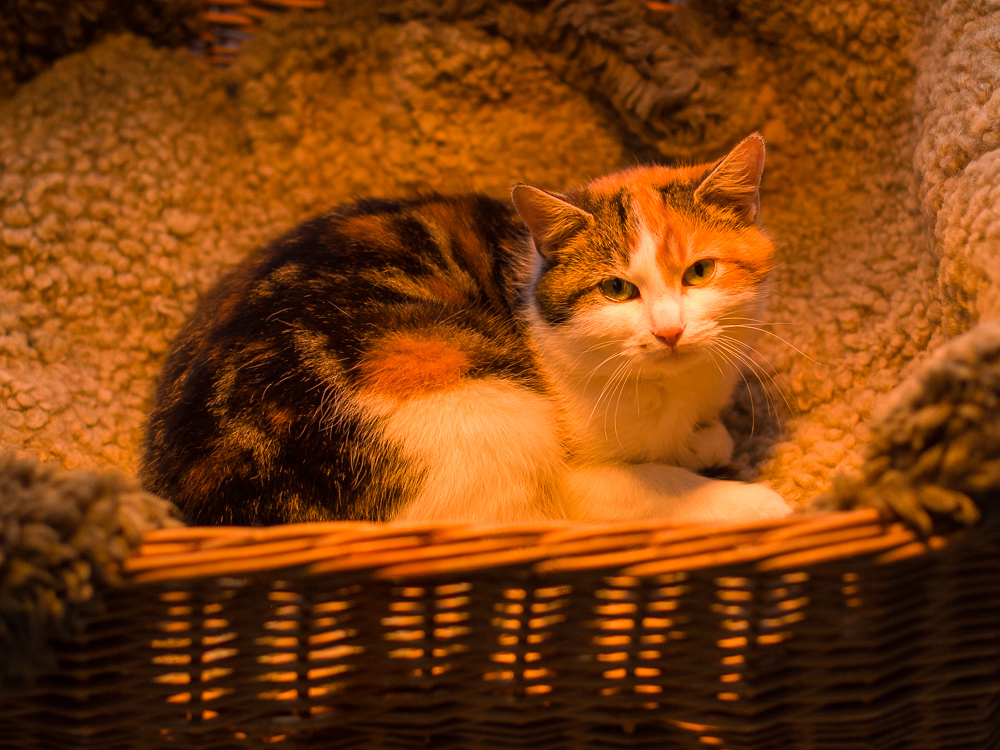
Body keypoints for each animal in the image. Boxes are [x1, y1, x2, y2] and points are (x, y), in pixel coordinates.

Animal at [141, 135, 792, 524]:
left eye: (700, 271)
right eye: (616, 289)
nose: (669, 331)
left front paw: (708, 440)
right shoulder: (578, 479)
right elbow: (654, 487)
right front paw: (753, 498)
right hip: (484, 408)